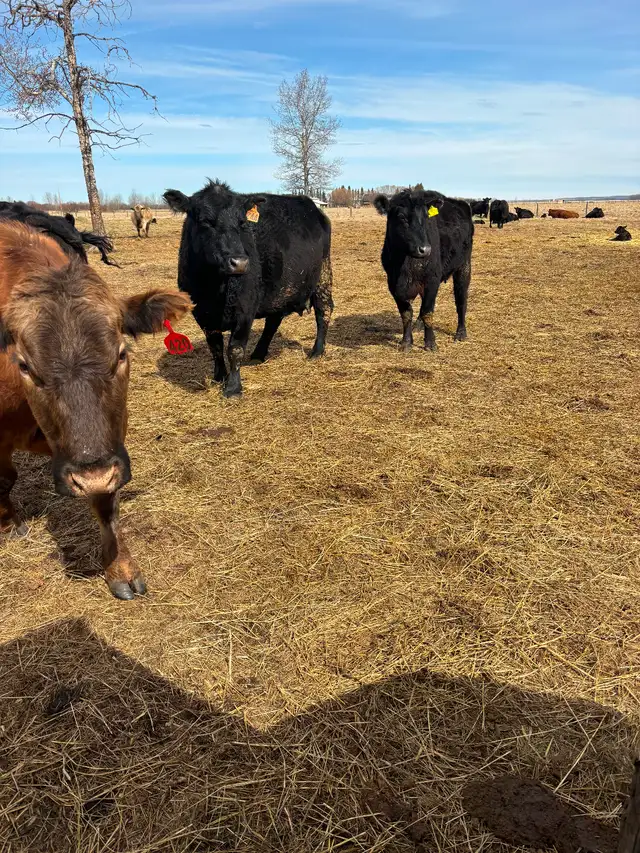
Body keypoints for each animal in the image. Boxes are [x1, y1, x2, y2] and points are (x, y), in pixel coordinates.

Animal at [0, 221, 192, 599]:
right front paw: (10, 523)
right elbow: (3, 480)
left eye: (121, 354)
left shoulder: (109, 445)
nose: (90, 477)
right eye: (25, 366)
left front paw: (120, 567)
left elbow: (105, 502)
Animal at [163, 180, 334, 398]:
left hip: (323, 274)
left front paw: (233, 388)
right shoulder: (202, 313)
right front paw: (219, 377)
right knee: (273, 321)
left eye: (242, 222)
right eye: (205, 221)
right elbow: (215, 347)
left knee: (324, 310)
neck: (214, 287)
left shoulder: (245, 310)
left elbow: (234, 349)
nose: (240, 263)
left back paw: (317, 351)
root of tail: (310, 205)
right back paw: (258, 354)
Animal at [374, 188, 473, 352]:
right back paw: (418, 326)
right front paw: (406, 342)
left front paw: (430, 343)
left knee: (461, 300)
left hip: (464, 265)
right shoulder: (393, 284)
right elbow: (406, 313)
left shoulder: (432, 280)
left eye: (426, 218)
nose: (425, 249)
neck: (405, 265)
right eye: (401, 217)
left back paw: (461, 332)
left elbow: (427, 312)